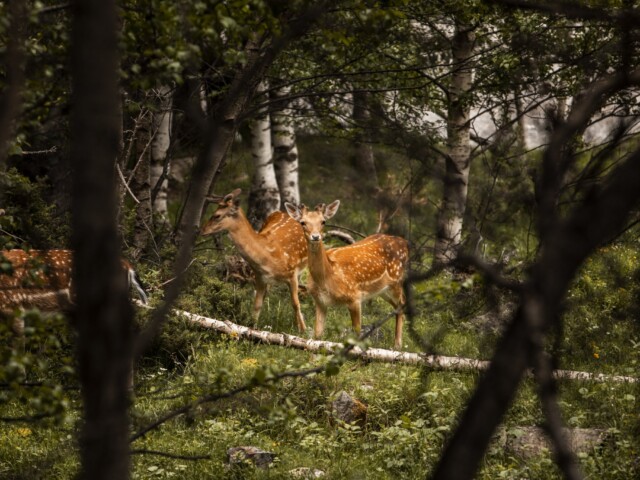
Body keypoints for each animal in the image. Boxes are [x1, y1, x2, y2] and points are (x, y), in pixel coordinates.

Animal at [200, 188, 308, 332]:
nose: (202, 230)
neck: (268, 257)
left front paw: (303, 331)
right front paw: (252, 328)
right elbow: (257, 305)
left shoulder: (292, 274)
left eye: (217, 215)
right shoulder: (260, 277)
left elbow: (296, 304)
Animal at [285, 200, 409, 349]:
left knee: (402, 303)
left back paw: (397, 345)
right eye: (303, 222)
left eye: (323, 221)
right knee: (397, 307)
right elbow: (317, 336)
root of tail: (404, 243)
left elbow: (357, 333)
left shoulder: (354, 297)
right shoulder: (320, 301)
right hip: (382, 290)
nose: (315, 236)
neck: (327, 277)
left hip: (396, 280)